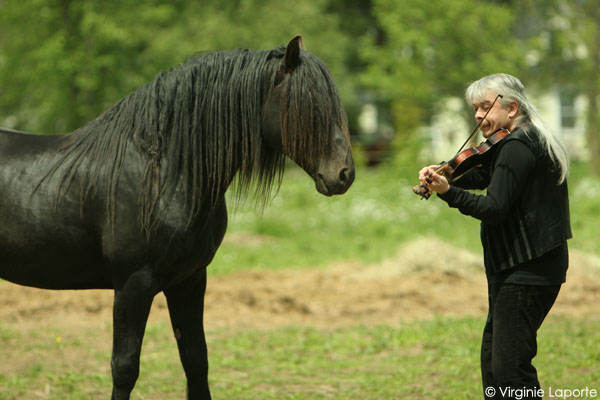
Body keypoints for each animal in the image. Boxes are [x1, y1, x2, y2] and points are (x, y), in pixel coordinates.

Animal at [0, 36, 354, 398]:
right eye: (309, 107)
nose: (344, 174)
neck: (164, 173)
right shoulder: (133, 284)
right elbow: (124, 368)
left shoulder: (190, 280)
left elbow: (196, 360)